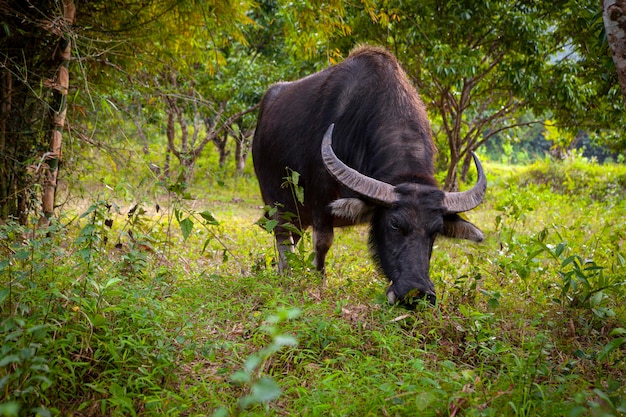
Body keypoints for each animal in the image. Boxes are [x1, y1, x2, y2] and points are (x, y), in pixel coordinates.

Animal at [251, 46, 486, 306]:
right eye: (394, 224)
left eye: (435, 230)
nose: (416, 294)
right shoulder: (320, 201)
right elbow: (323, 242)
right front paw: (319, 281)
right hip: (275, 202)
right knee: (284, 236)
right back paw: (287, 274)